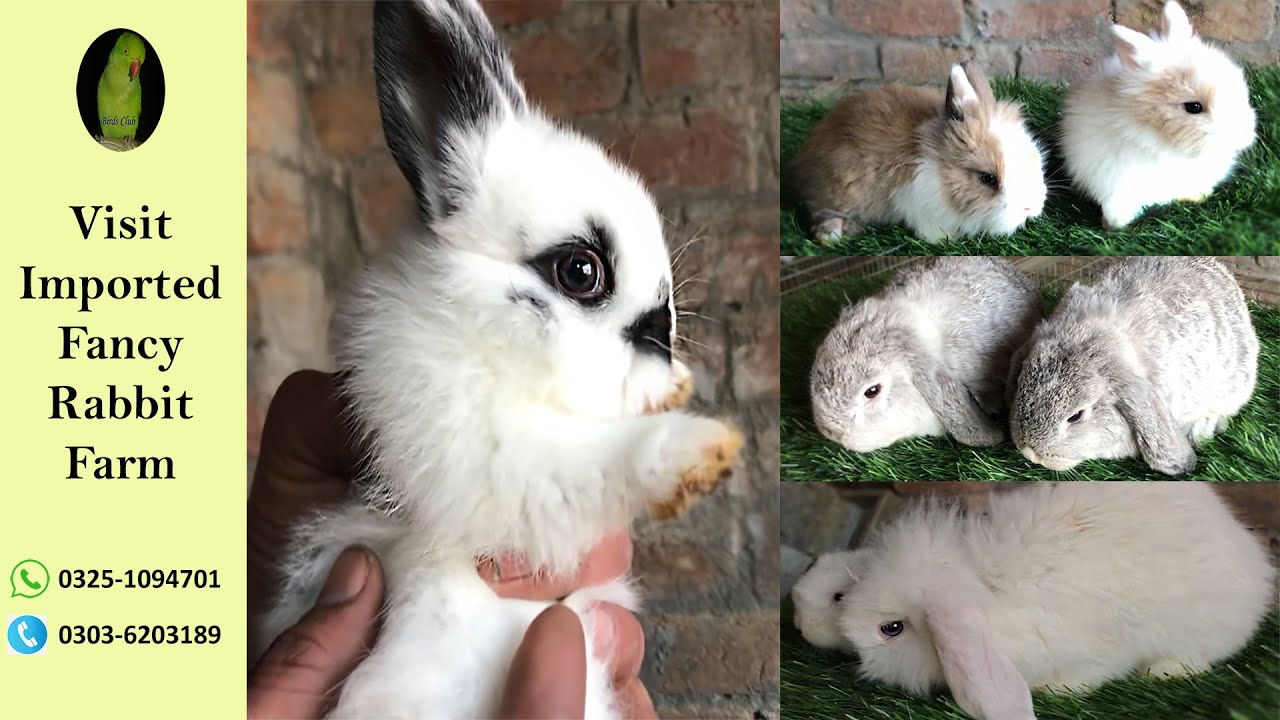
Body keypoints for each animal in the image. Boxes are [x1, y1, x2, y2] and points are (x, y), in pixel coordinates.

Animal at [251, 2, 743, 718]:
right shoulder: (478, 461)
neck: (478, 335)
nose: (665, 347)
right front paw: (701, 448)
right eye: (581, 271)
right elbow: (578, 465)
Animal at [837, 482, 1276, 720]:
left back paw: (1165, 670)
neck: (983, 591)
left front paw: (1057, 691)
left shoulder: (1094, 649)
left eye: (891, 629)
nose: (851, 646)